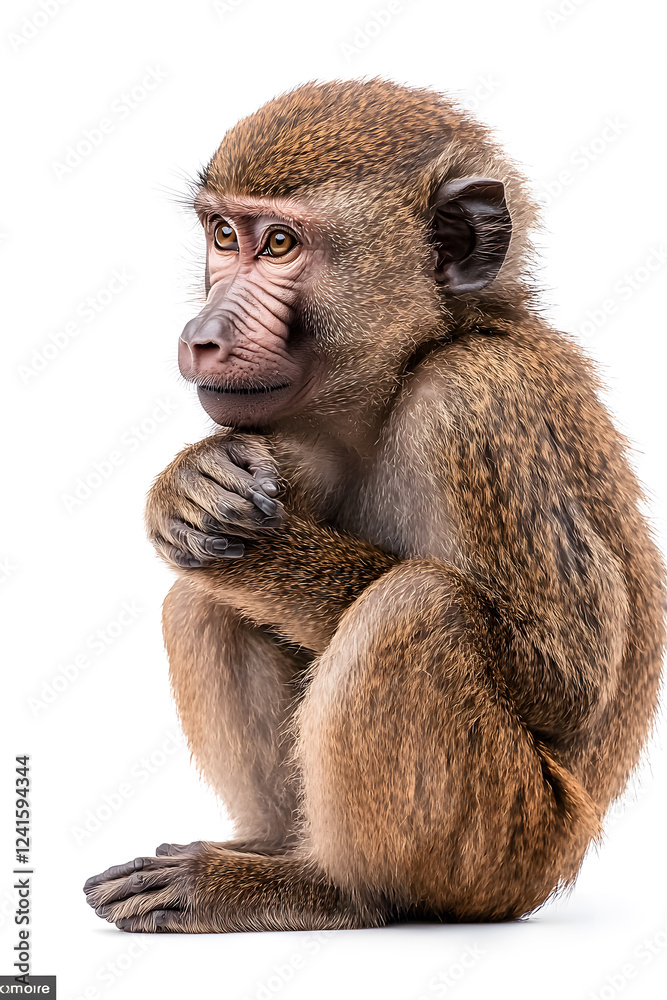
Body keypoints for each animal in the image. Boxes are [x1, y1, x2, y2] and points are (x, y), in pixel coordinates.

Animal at [84, 78, 665, 932]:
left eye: (280, 244)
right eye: (223, 235)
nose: (204, 335)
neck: (413, 361)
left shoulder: (474, 405)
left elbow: (565, 680)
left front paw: (237, 531)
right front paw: (193, 481)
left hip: (509, 850)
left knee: (417, 605)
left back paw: (334, 891)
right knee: (203, 601)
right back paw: (271, 851)